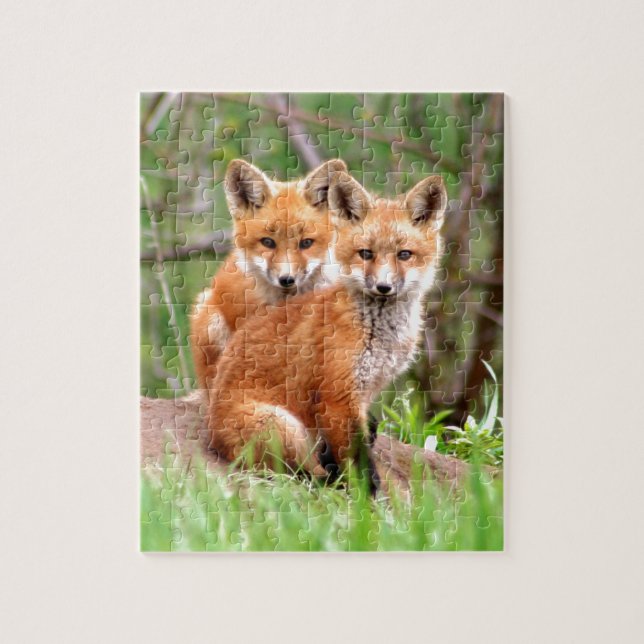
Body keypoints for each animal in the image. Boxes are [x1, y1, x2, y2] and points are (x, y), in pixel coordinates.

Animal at [208, 170, 449, 489]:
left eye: (404, 254)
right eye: (365, 254)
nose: (383, 287)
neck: (378, 333)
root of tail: (212, 437)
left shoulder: (364, 392)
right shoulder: (337, 397)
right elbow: (358, 463)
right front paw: (367, 496)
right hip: (283, 427)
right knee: (300, 474)